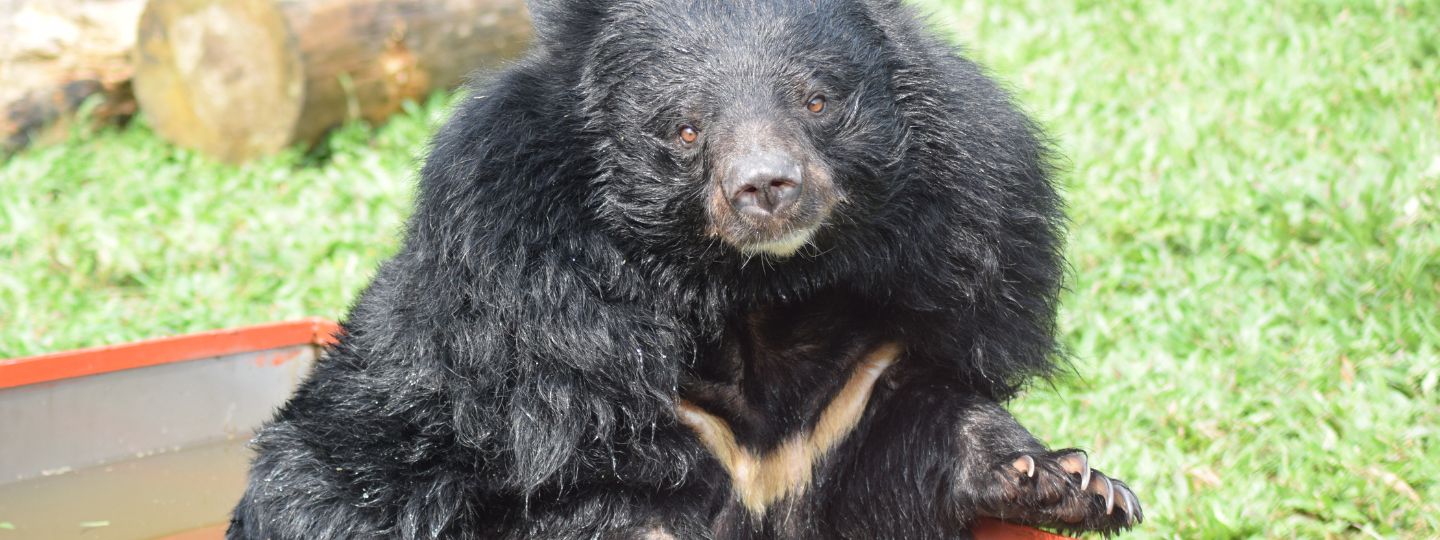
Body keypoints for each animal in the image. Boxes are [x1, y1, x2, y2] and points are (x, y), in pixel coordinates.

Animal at [228, 0, 1142, 538]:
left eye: (817, 100)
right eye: (685, 128)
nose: (768, 187)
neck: (756, 297)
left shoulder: (889, 342)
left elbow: (912, 440)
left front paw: (1072, 481)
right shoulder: (544, 348)